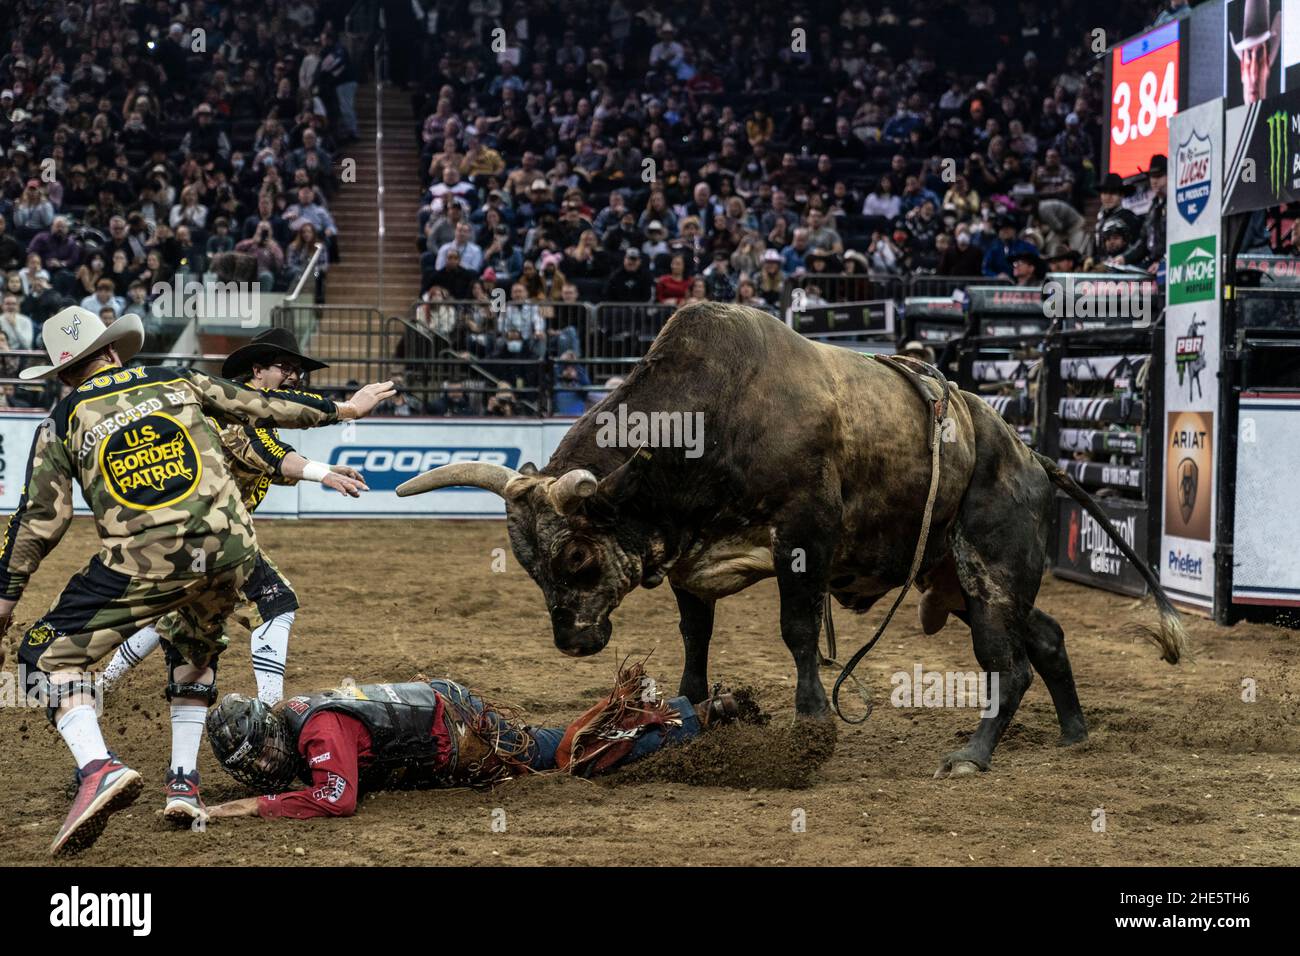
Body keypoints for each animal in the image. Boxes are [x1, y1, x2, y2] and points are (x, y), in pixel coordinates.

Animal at [397, 306, 1190, 780]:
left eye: (577, 557)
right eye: (530, 565)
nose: (573, 641)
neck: (718, 415)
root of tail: (1031, 456)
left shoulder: (805, 537)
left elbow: (799, 629)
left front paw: (811, 720)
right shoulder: (687, 557)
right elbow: (696, 635)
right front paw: (692, 709)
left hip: (992, 568)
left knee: (1010, 664)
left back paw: (971, 755)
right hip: (961, 579)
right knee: (1047, 636)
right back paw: (1075, 732)